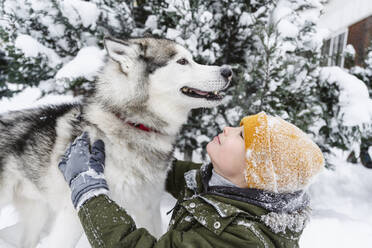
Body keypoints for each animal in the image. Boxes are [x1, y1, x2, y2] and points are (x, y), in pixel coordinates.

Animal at [0, 37, 231, 248]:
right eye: (182, 61)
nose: (228, 71)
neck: (133, 124)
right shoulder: (73, 215)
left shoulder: (147, 207)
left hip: (36, 215)